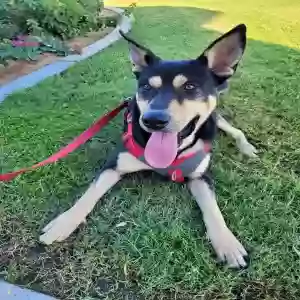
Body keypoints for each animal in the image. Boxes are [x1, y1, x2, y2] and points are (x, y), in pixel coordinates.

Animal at [39, 23, 258, 268]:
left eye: (190, 86)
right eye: (146, 87)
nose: (153, 120)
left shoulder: (201, 176)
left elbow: (213, 209)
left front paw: (227, 244)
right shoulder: (115, 164)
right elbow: (89, 194)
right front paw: (64, 222)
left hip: (215, 120)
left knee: (234, 130)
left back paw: (247, 148)